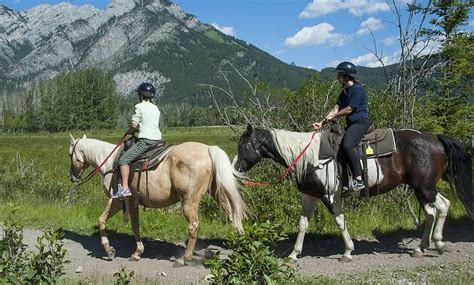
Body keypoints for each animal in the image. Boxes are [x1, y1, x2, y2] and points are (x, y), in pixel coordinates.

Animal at [69, 134, 248, 262]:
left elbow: (106, 221)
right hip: (217, 193)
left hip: (188, 202)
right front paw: (134, 252)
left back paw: (184, 258)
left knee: (194, 226)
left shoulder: (119, 201)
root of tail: (208, 149)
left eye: (70, 154)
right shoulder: (132, 203)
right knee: (233, 215)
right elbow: (128, 225)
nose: (72, 177)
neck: (110, 163)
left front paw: (112, 250)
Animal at [235, 124, 472, 262]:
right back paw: (420, 248)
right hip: (421, 188)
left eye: (244, 145)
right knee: (432, 212)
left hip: (425, 187)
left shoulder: (330, 196)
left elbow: (340, 222)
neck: (309, 157)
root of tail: (435, 139)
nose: (235, 168)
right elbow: (302, 224)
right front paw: (294, 254)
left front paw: (348, 251)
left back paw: (438, 243)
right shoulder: (309, 196)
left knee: (442, 206)